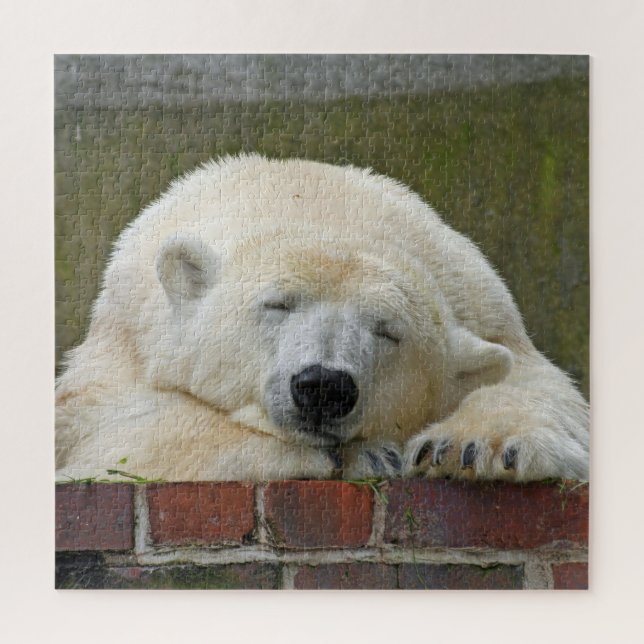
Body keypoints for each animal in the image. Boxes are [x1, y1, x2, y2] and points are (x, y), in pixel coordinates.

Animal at [55, 154, 589, 482]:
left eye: (388, 331)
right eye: (277, 304)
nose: (324, 386)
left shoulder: (487, 309)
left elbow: (541, 386)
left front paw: (467, 447)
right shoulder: (126, 332)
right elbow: (110, 425)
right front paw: (367, 454)